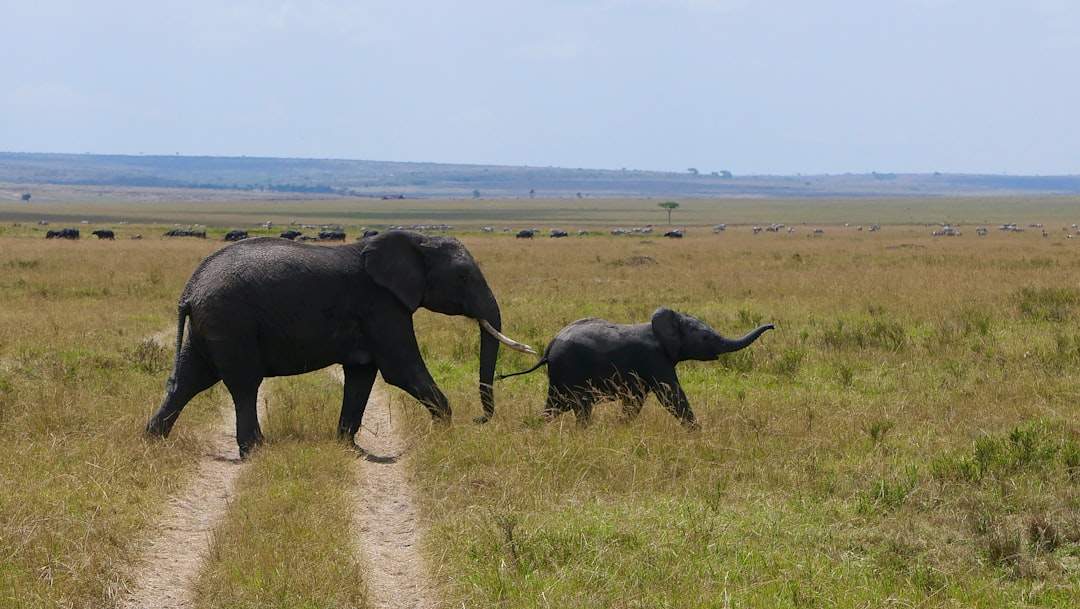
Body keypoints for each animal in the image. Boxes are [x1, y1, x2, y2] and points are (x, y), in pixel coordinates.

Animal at [145, 230, 536, 457]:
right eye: (464, 276)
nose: (479, 419)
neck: (413, 240)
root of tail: (189, 291)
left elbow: (362, 374)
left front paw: (347, 446)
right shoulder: (381, 305)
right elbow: (401, 369)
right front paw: (443, 435)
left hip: (210, 326)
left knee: (188, 380)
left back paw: (152, 441)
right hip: (231, 321)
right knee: (243, 384)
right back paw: (256, 451)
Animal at [498, 308, 773, 428]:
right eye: (706, 337)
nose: (772, 326)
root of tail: (549, 348)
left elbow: (635, 401)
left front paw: (622, 426)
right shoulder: (654, 359)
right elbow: (671, 395)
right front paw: (697, 432)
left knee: (556, 407)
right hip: (571, 370)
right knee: (578, 407)